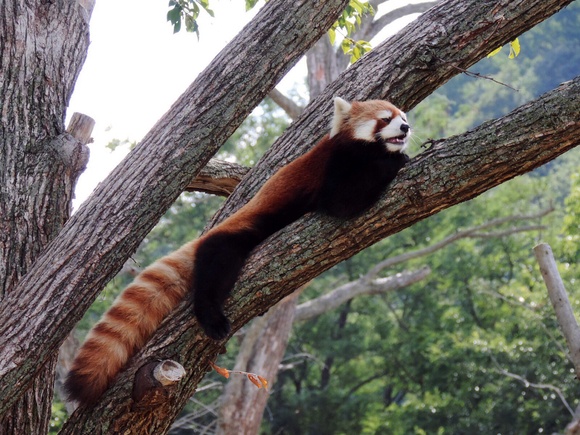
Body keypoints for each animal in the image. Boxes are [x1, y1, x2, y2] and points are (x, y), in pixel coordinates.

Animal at [64, 97, 408, 408]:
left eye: (402, 115)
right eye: (385, 118)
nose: (406, 127)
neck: (360, 150)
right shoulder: (335, 166)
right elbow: (341, 203)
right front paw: (397, 161)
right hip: (233, 238)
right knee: (217, 264)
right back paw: (211, 317)